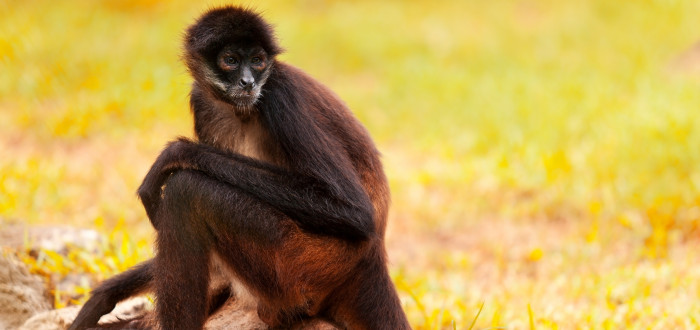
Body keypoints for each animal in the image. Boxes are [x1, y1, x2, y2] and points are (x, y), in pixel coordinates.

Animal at [69, 5, 410, 330]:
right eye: (231, 60)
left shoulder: (279, 93)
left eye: (257, 61)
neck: (240, 108)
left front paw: (176, 153)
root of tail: (371, 259)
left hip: (304, 264)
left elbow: (354, 211)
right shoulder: (201, 100)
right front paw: (106, 294)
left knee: (186, 190)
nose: (248, 82)